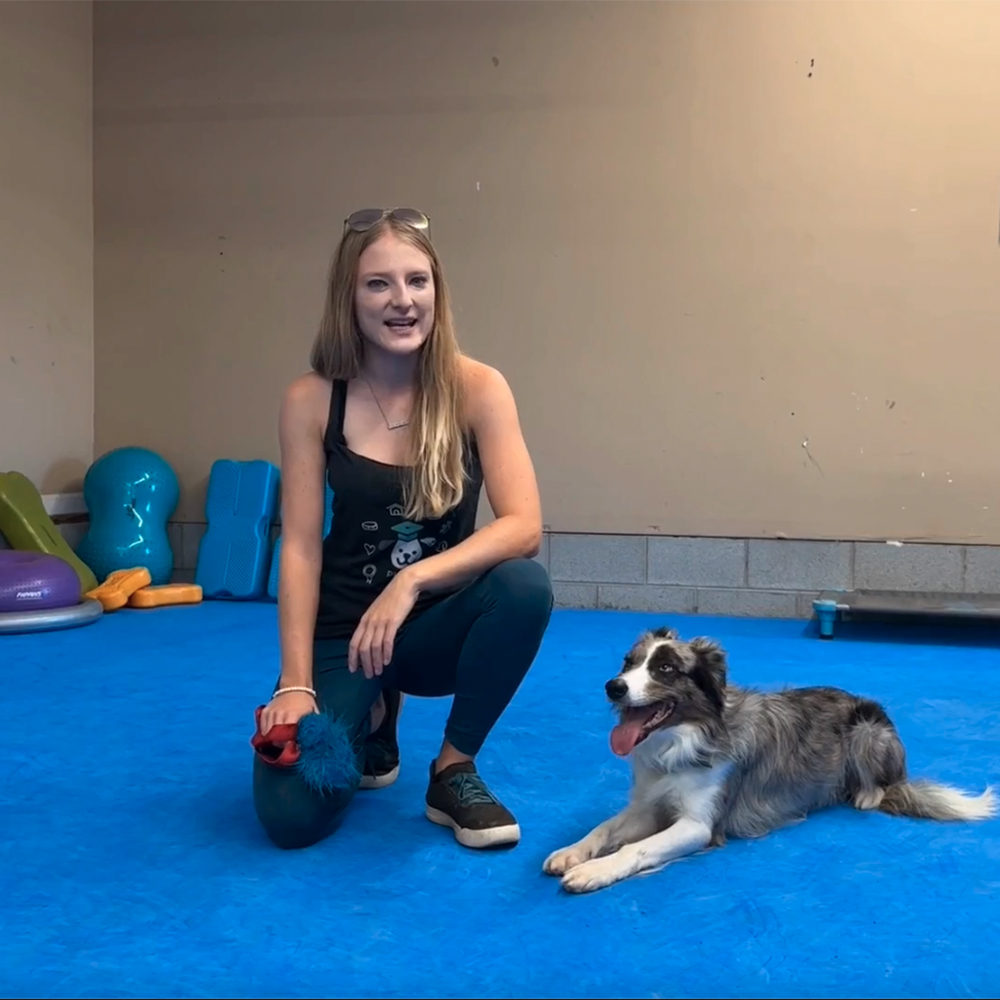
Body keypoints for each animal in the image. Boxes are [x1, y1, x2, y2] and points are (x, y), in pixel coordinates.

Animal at [544, 628, 996, 896]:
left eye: (666, 668)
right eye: (628, 662)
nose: (613, 686)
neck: (680, 741)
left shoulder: (698, 825)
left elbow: (637, 849)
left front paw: (595, 870)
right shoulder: (648, 806)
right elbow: (604, 828)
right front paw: (572, 852)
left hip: (867, 728)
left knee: (885, 783)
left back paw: (867, 794)